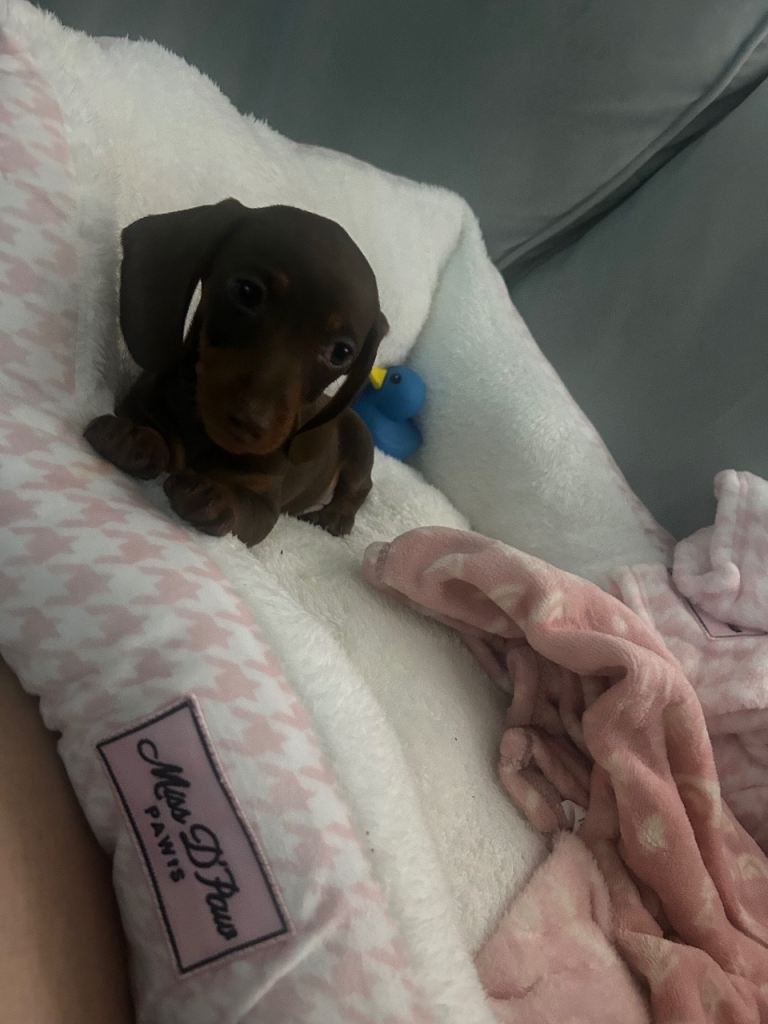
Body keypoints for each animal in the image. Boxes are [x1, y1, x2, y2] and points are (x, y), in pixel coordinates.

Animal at [84, 199, 388, 546]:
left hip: (360, 442)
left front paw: (212, 495)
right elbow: (149, 427)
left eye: (341, 352)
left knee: (360, 486)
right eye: (247, 291)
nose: (253, 424)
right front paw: (134, 437)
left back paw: (336, 515)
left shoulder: (263, 503)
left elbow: (241, 505)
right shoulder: (139, 406)